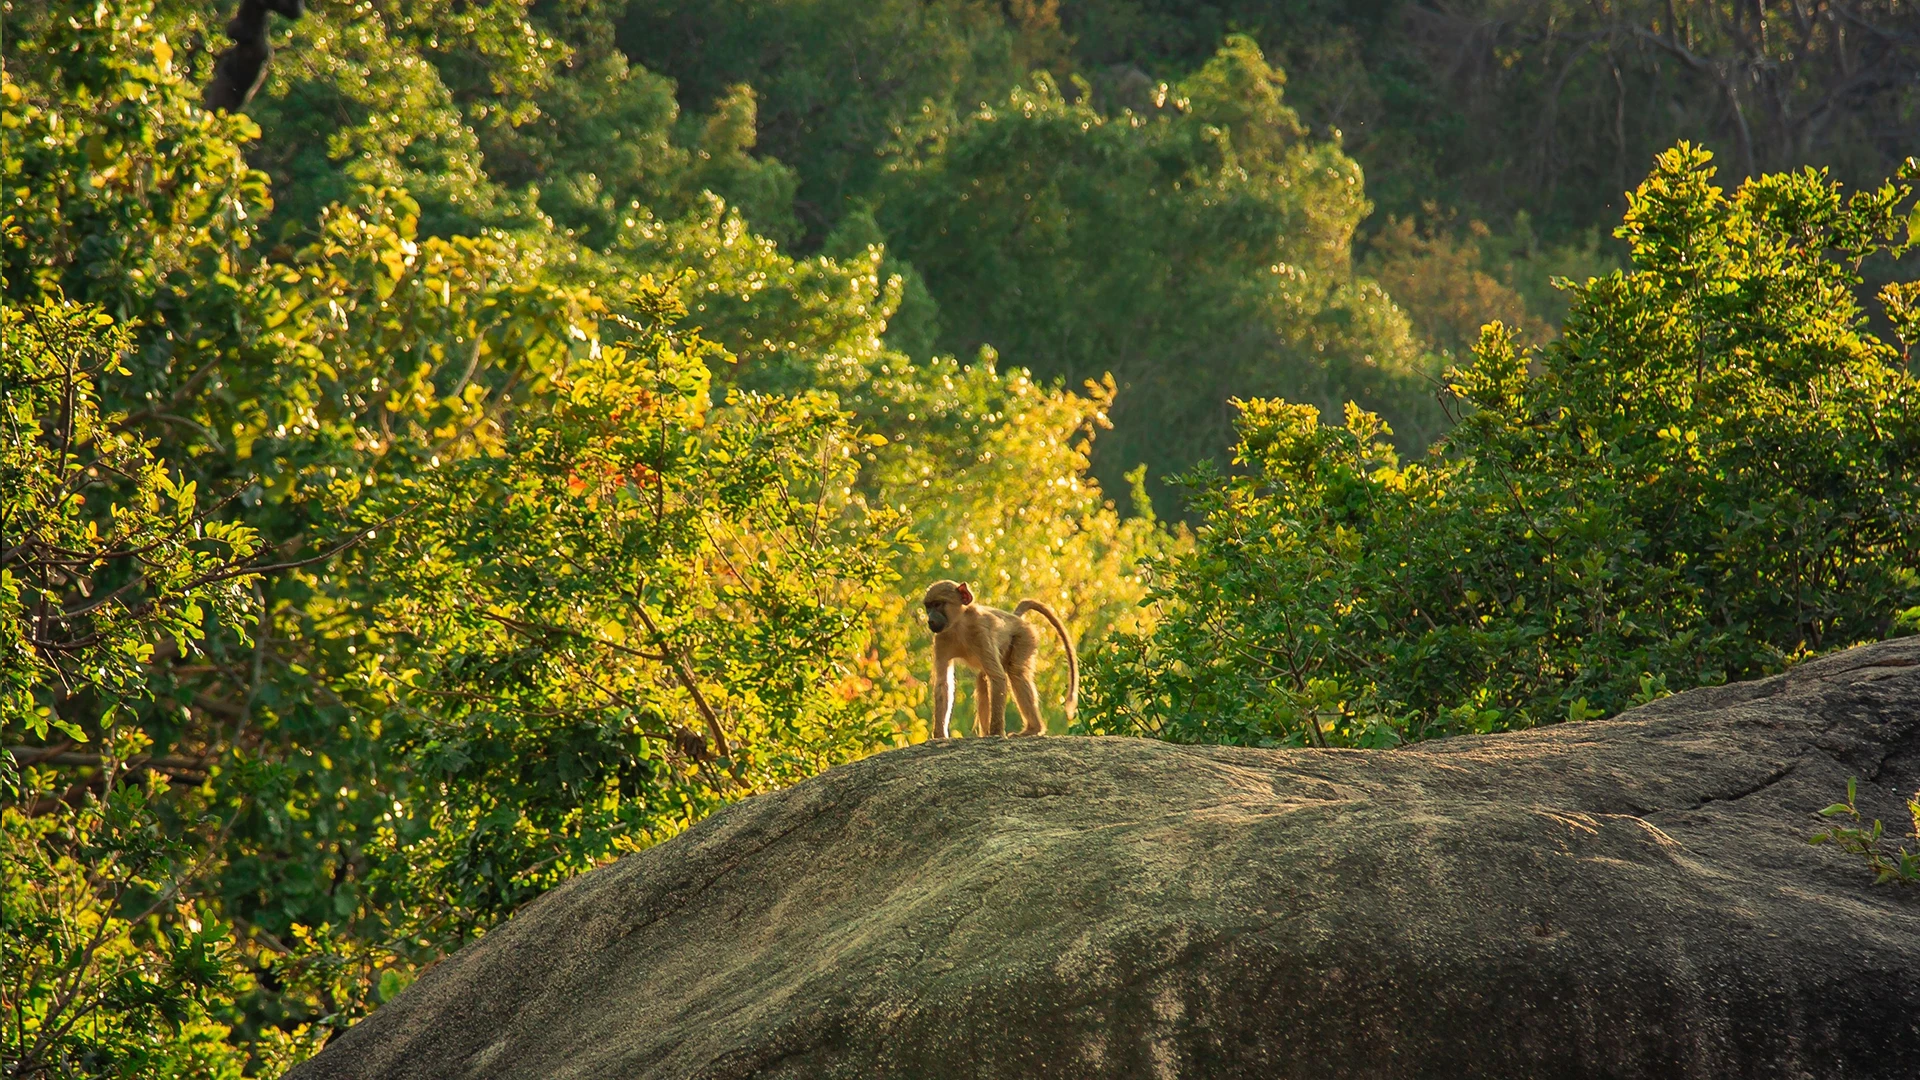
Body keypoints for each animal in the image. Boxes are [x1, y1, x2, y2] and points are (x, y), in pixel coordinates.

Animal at [922, 580, 1078, 740]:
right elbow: (943, 684)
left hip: (1025, 636)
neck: (959, 626)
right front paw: (939, 735)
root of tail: (1015, 618)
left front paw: (996, 733)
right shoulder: (941, 639)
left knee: (1016, 673)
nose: (930, 620)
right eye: (928, 607)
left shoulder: (980, 632)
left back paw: (1033, 729)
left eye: (938, 604)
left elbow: (997, 677)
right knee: (983, 680)